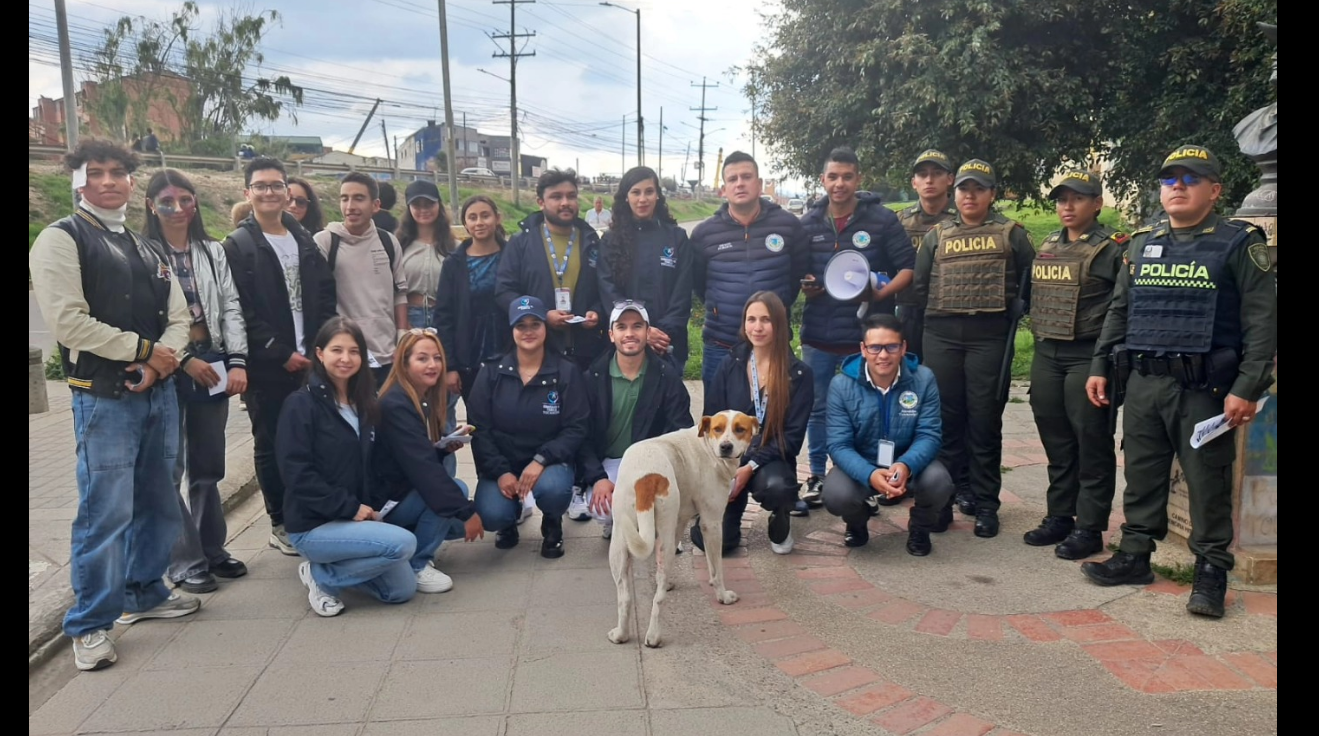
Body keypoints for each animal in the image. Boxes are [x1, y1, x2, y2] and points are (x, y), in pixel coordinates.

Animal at [604, 411, 759, 648]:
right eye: (718, 428)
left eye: (740, 429)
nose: (726, 447)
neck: (706, 446)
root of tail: (647, 476)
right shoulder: (712, 524)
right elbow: (717, 570)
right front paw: (722, 596)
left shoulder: (680, 520)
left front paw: (668, 581)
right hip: (665, 541)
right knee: (658, 599)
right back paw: (654, 636)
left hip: (621, 541)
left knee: (625, 596)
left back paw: (620, 634)